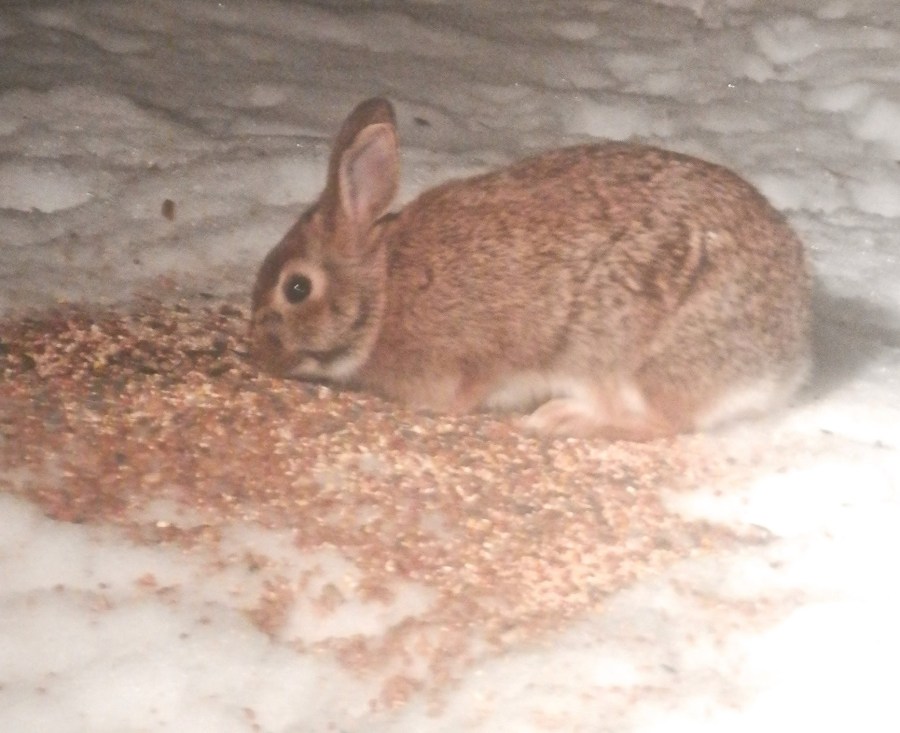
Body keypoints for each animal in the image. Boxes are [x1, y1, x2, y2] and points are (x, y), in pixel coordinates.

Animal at [250, 97, 811, 440]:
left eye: (296, 288)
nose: (263, 358)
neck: (385, 289)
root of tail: (783, 366)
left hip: (622, 359)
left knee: (663, 422)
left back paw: (562, 419)